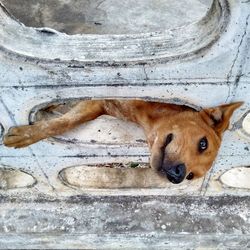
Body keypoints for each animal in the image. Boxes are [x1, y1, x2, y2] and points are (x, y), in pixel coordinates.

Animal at [2, 99, 243, 184]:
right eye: (203, 144)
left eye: (192, 176)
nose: (178, 177)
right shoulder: (99, 99)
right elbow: (64, 122)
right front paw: (26, 135)